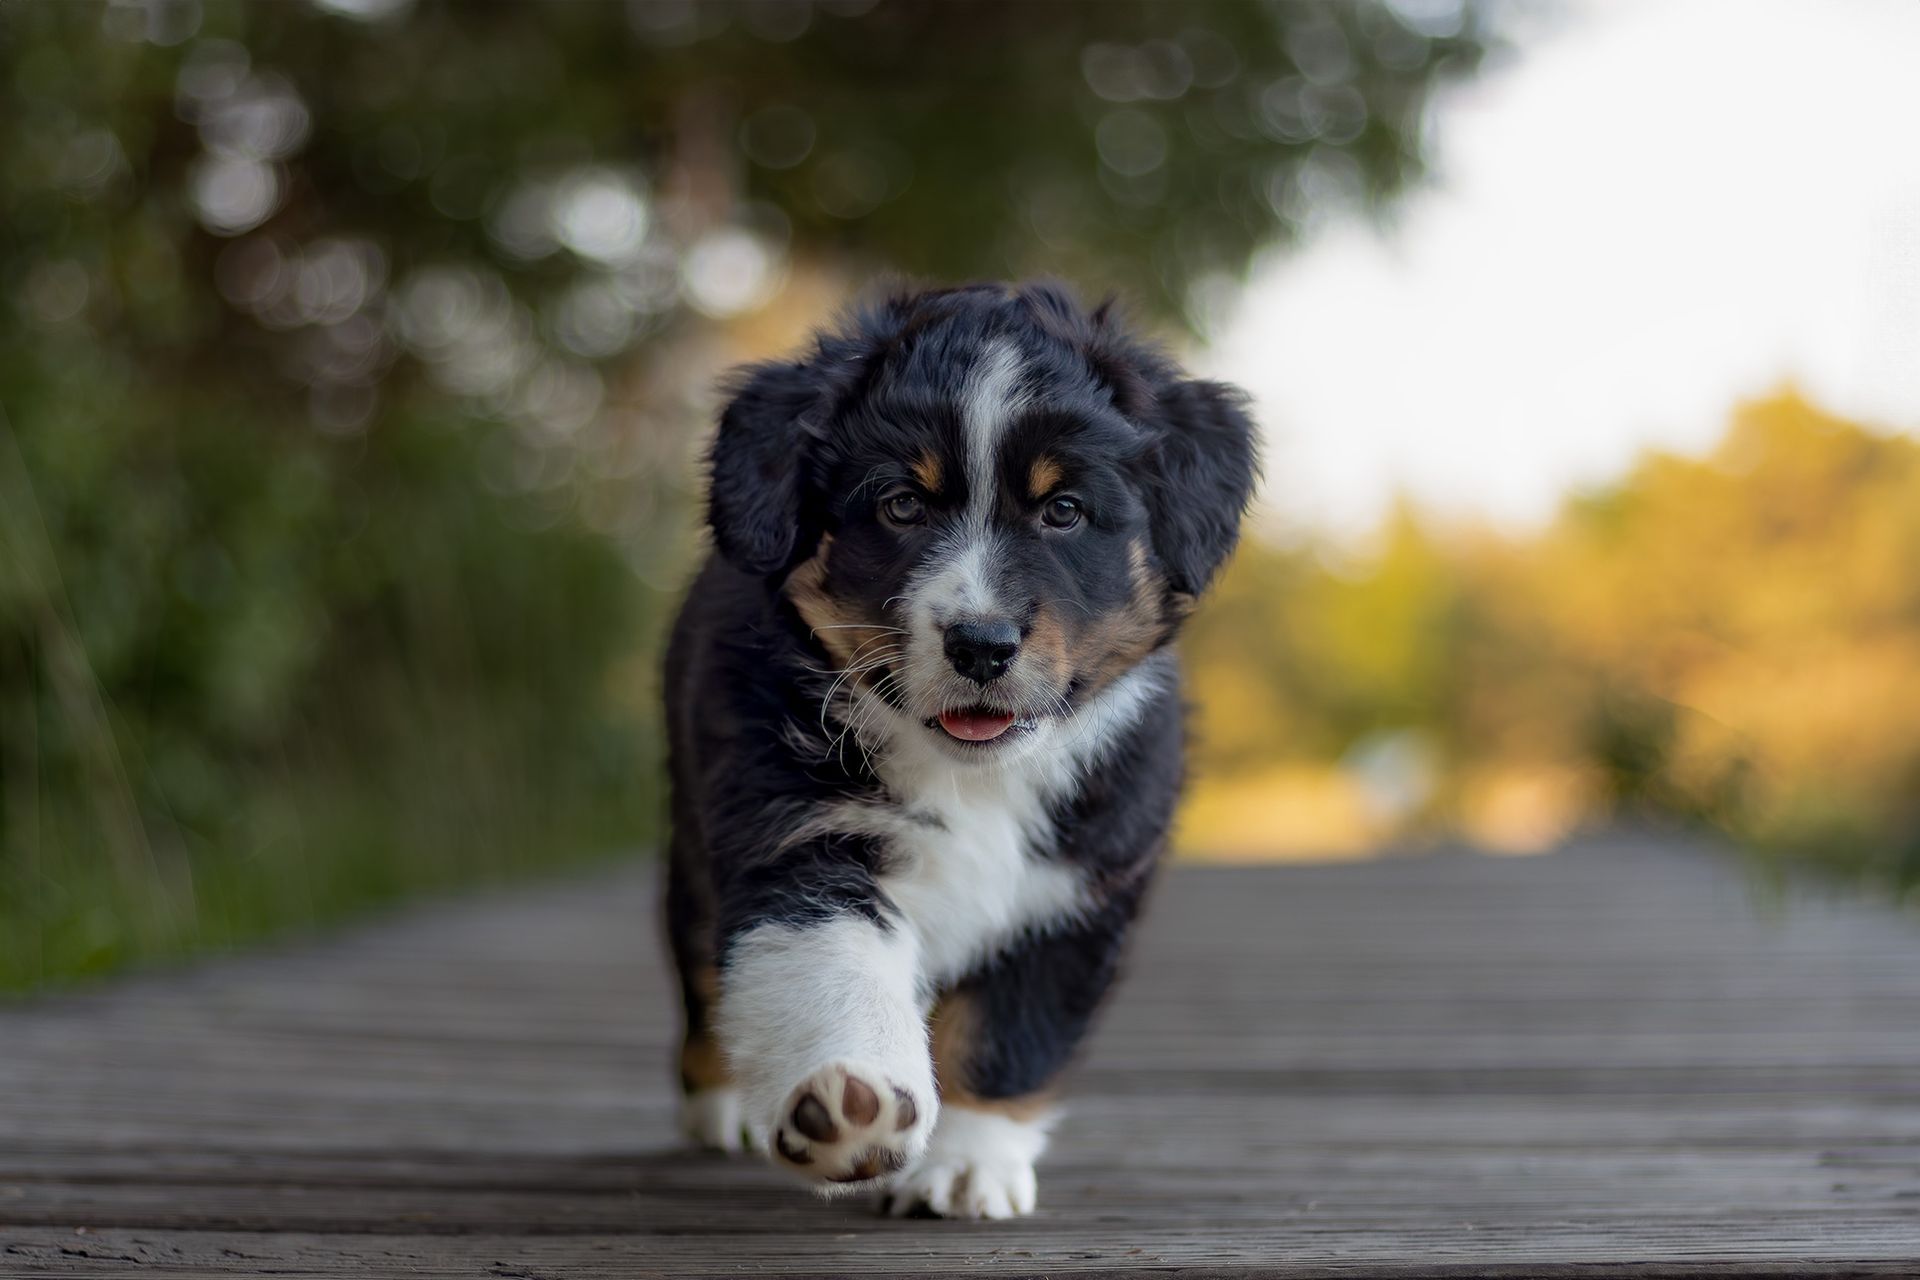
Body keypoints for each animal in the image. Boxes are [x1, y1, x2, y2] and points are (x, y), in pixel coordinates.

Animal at [664, 280, 1259, 1220]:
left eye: (1064, 510)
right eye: (902, 505)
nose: (982, 645)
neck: (974, 780)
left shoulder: (1074, 892)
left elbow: (1005, 1036)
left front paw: (969, 1164)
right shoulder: (799, 838)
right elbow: (836, 970)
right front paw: (852, 1104)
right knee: (698, 970)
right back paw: (722, 1105)